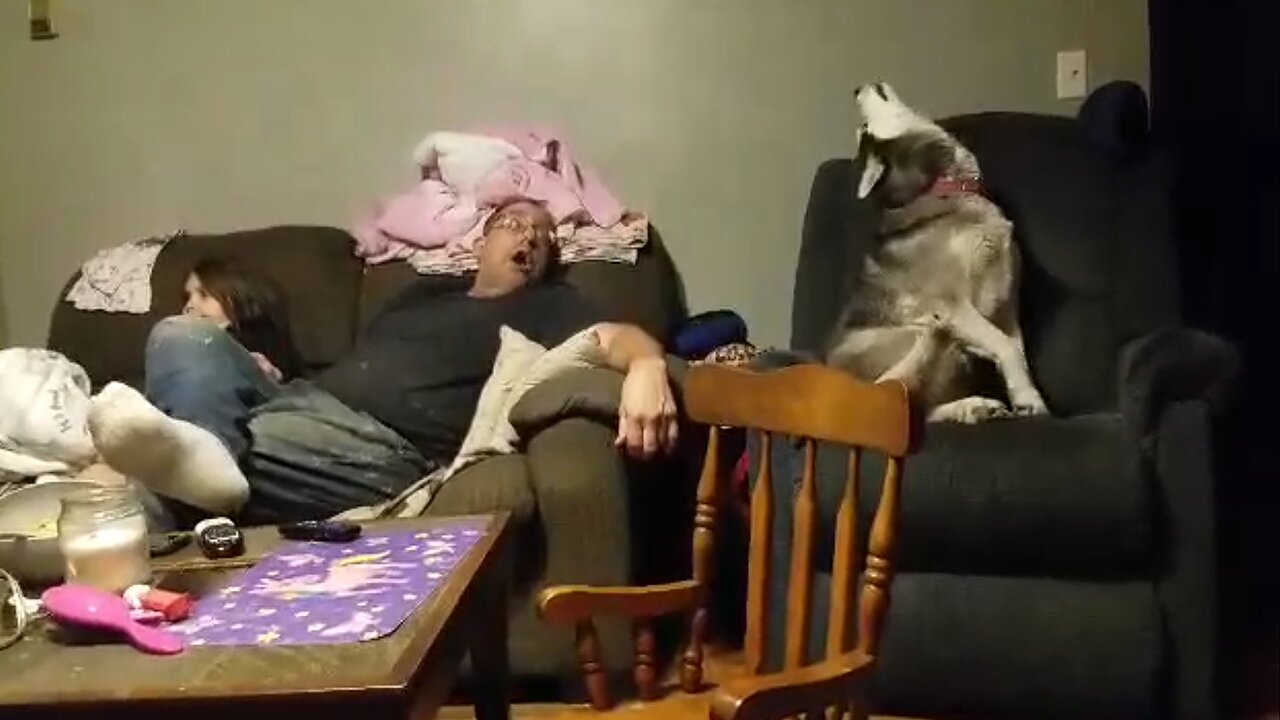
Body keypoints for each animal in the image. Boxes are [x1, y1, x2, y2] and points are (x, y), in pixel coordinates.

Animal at [829, 82, 1049, 420]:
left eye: (863, 128)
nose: (855, 89)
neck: (947, 187)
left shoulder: (1004, 307)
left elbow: (1016, 351)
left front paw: (1027, 396)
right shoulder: (955, 305)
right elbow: (1006, 346)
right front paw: (1027, 397)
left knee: (921, 408)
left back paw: (974, 407)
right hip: (908, 334)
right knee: (900, 391)